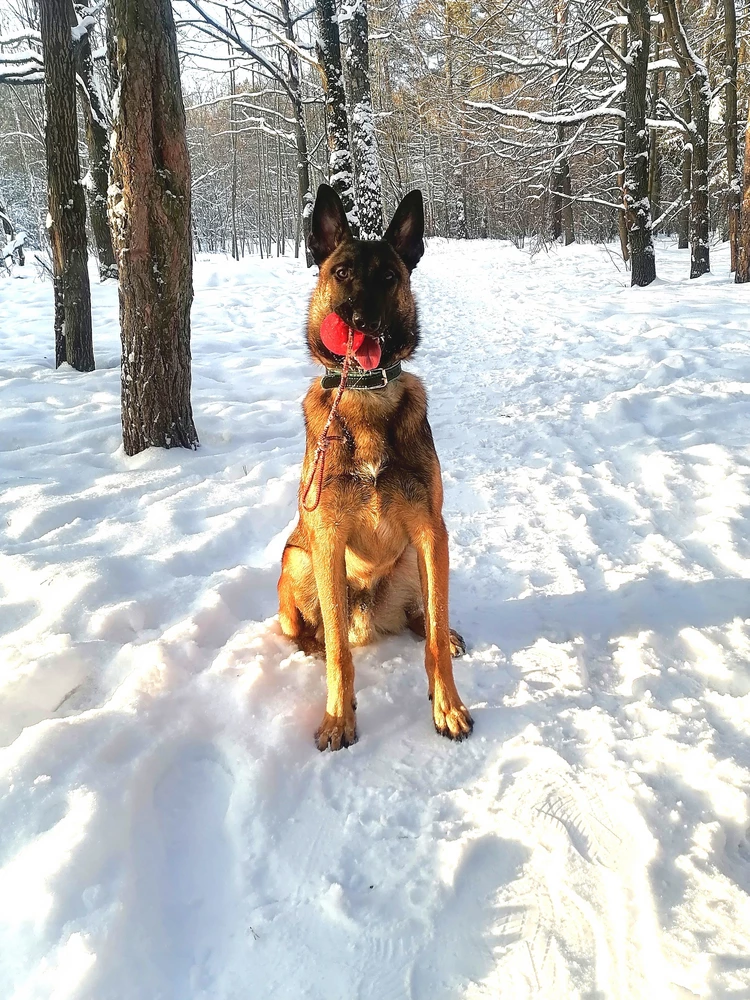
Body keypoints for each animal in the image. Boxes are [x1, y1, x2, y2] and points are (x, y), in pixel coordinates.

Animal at [280, 186, 472, 752]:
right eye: (341, 272)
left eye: (388, 276)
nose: (358, 319)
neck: (365, 394)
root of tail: (371, 616)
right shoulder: (326, 536)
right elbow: (341, 655)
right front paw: (337, 718)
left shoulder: (432, 532)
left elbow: (433, 632)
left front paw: (447, 706)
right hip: (297, 560)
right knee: (311, 630)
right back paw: (313, 647)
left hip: (415, 558)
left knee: (423, 617)